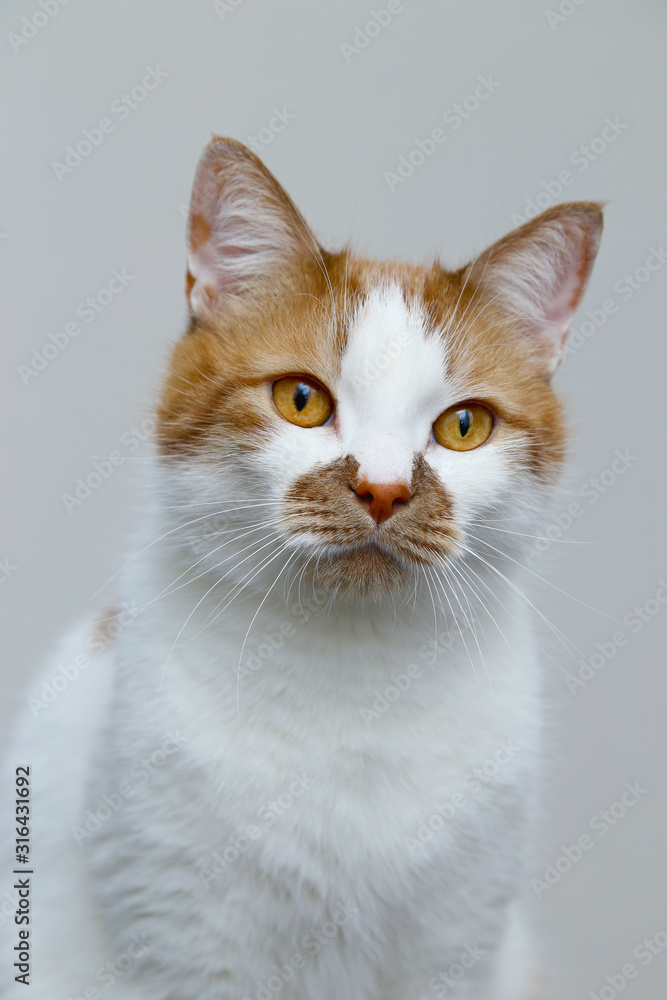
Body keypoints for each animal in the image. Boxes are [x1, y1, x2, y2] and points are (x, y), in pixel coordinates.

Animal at [1, 135, 604, 1000]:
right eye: (300, 400)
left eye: (463, 426)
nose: (383, 489)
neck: (355, 686)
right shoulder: (188, 949)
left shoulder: (455, 949)